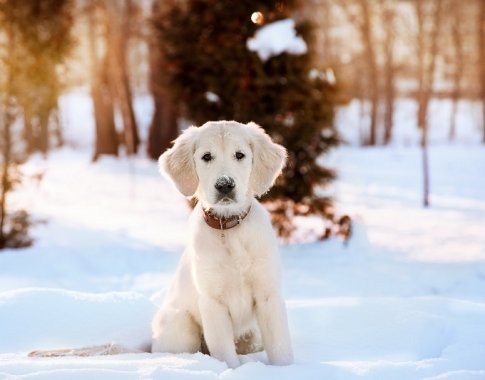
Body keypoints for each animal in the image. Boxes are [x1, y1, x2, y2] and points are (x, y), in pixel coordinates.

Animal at [153, 120, 294, 366]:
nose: (225, 185)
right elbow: (225, 354)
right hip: (181, 326)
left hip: (253, 335)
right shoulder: (212, 302)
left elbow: (280, 346)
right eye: (206, 157)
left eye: (239, 155)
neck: (228, 228)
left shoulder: (268, 294)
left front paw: (287, 370)